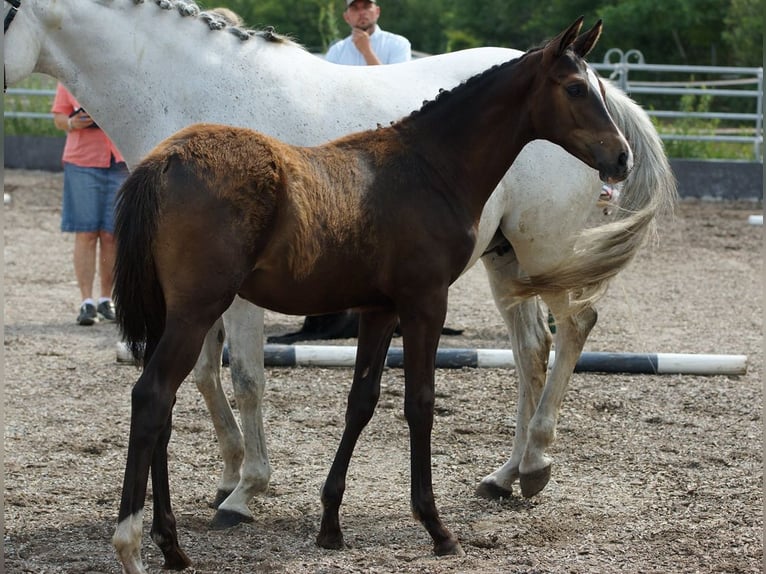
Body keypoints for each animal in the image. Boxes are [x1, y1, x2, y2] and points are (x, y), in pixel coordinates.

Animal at [3, 0, 676, 549]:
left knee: (574, 326)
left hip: (543, 251)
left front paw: (246, 490)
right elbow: (212, 378)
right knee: (533, 348)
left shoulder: (248, 300)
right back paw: (511, 473)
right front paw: (233, 478)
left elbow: (248, 379)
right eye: (573, 88)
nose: (619, 157)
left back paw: (532, 464)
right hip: (508, 258)